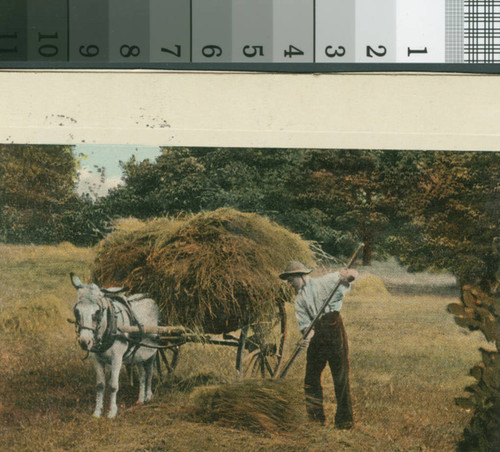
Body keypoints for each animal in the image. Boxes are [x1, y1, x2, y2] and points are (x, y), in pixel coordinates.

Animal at [70, 274, 159, 418]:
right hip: (138, 354)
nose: (85, 341)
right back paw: (141, 399)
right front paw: (97, 412)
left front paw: (112, 412)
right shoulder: (97, 359)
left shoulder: (117, 358)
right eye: (76, 311)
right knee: (142, 374)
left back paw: (149, 396)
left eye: (98, 311)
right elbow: (100, 385)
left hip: (152, 351)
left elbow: (113, 385)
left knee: (150, 371)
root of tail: (149, 298)